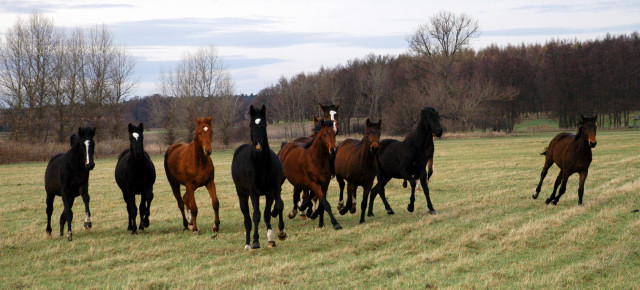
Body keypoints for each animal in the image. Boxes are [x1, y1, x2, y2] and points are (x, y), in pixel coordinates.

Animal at [232, 105, 288, 249]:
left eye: (264, 124)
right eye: (251, 124)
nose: (258, 145)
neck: (262, 164)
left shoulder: (273, 190)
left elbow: (277, 207)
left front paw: (279, 234)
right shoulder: (254, 192)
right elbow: (256, 214)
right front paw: (256, 241)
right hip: (242, 194)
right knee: (247, 218)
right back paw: (247, 244)